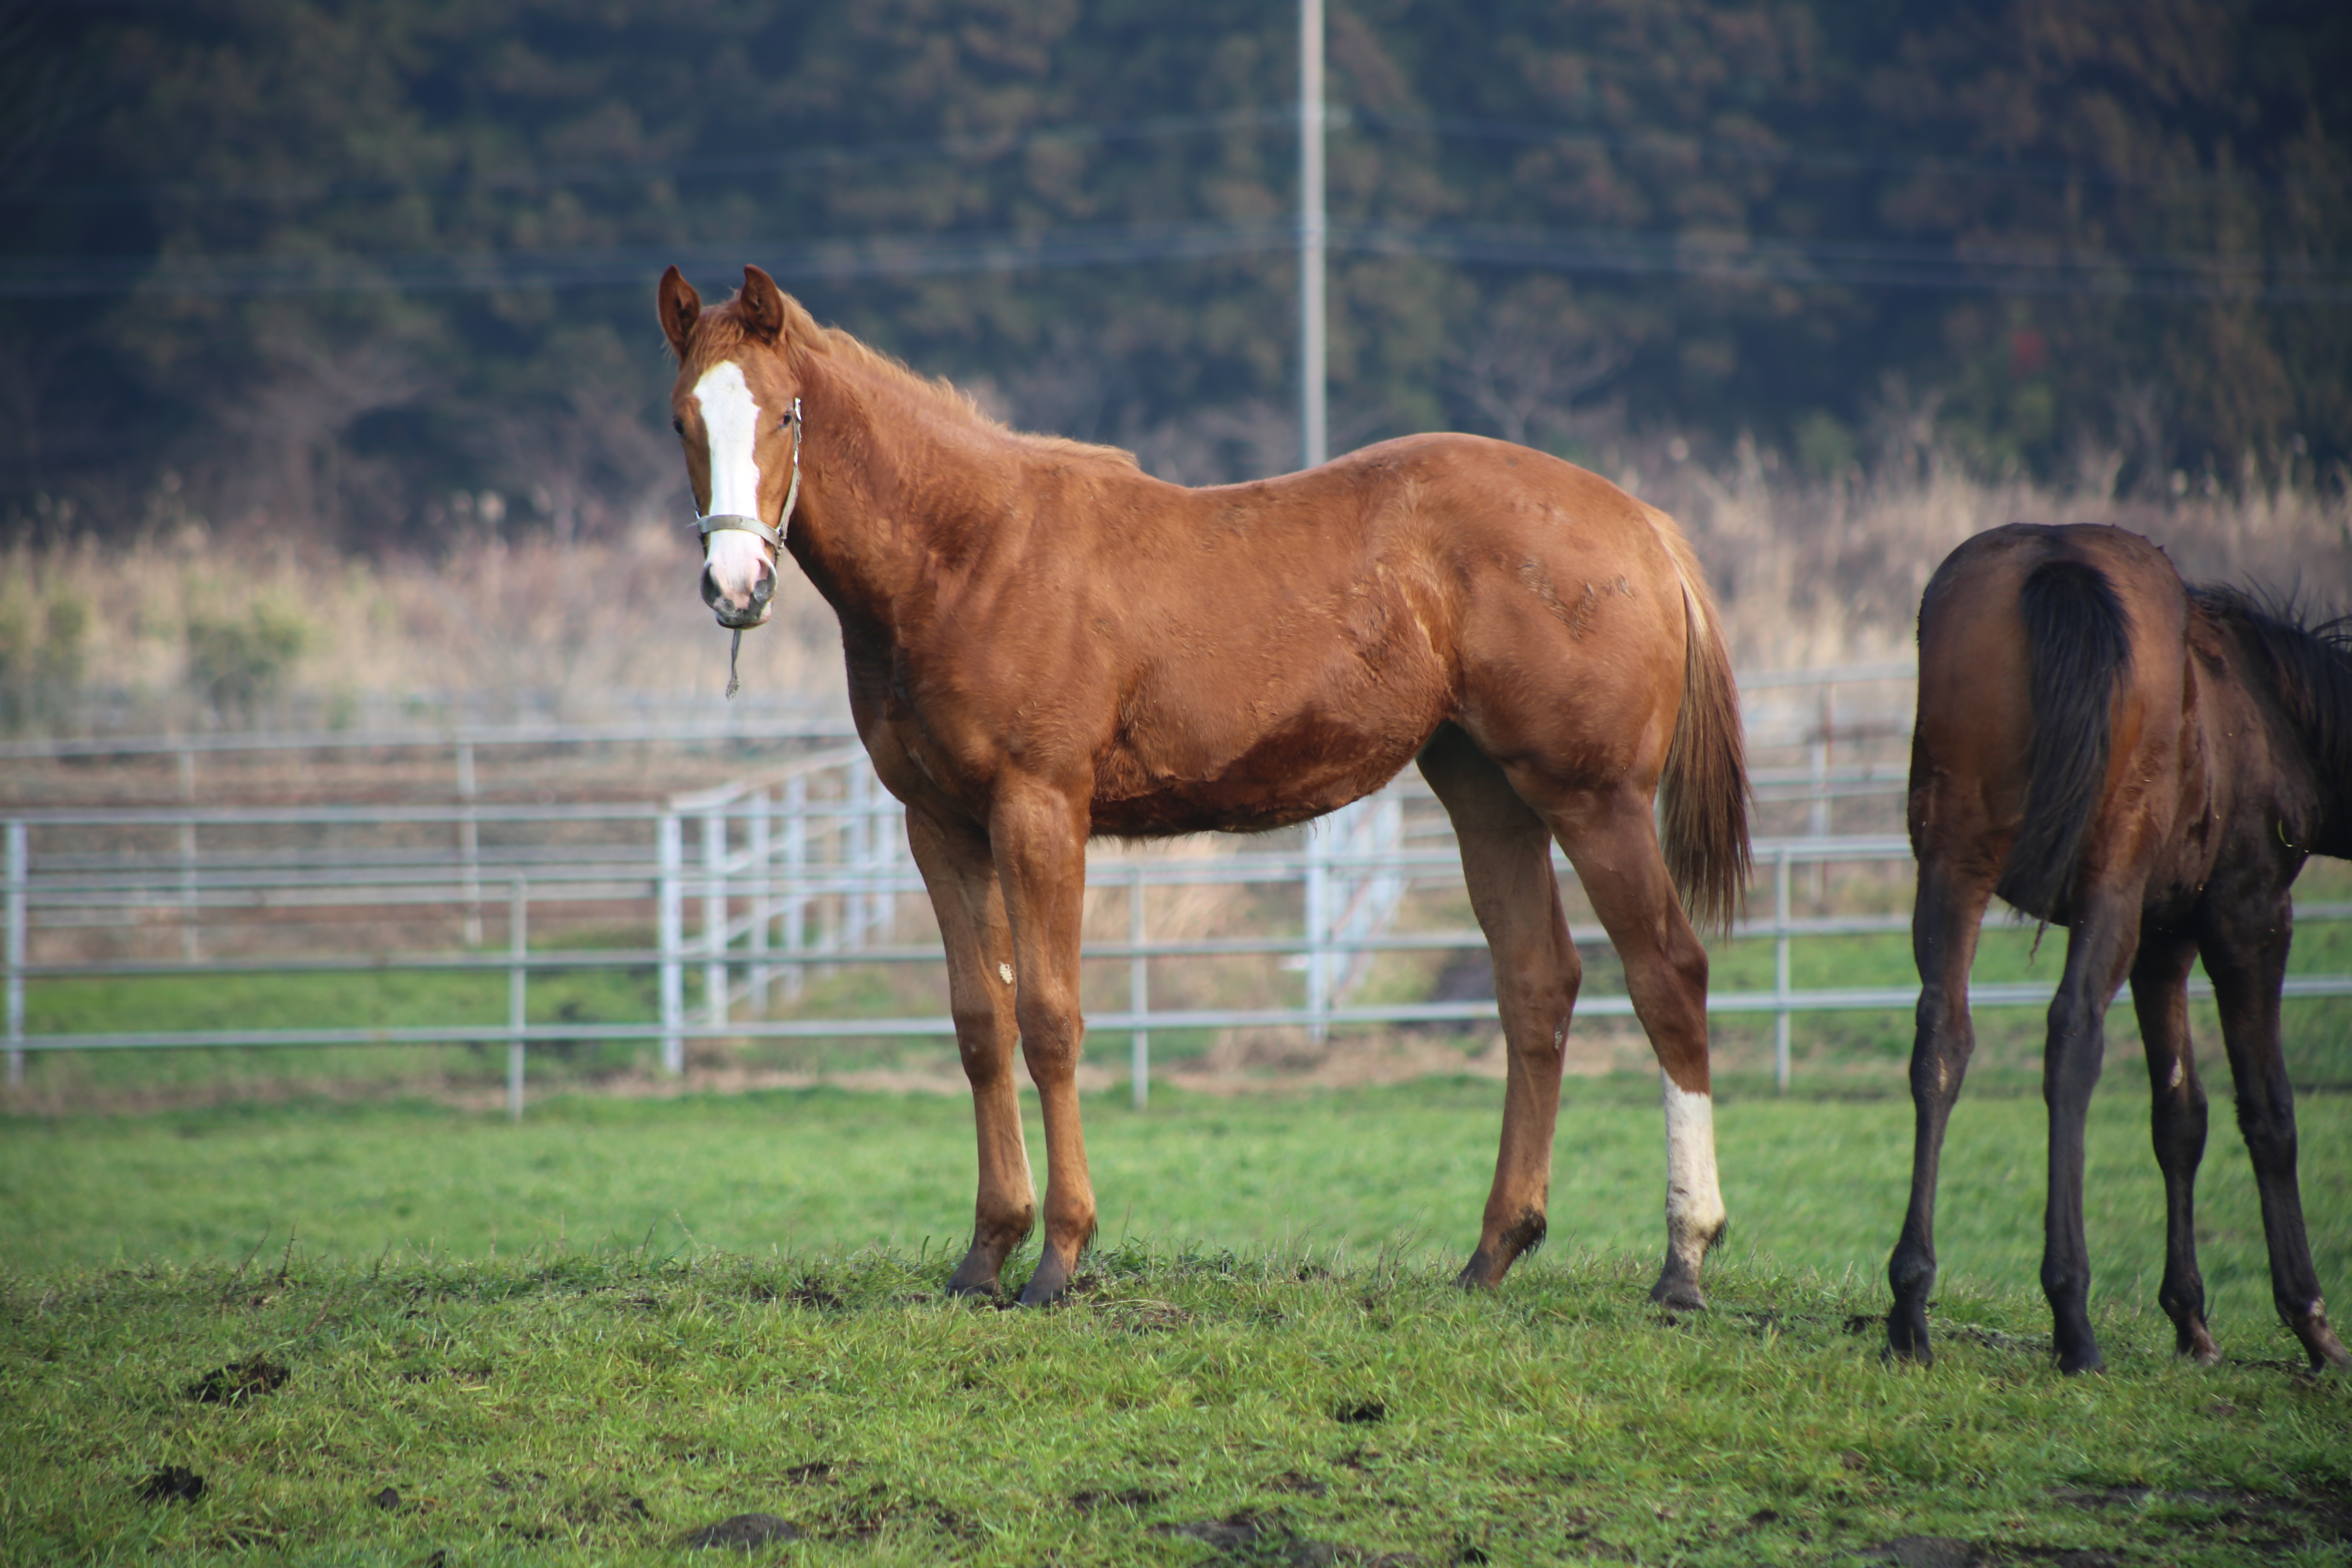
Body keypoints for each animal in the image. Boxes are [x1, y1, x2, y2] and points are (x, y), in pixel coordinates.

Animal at [658, 263, 1750, 1307]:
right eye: (682, 420)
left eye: (785, 413)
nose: (735, 587)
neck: (967, 554)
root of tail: (1640, 523)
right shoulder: (939, 825)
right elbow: (980, 1025)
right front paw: (984, 1255)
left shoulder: (1039, 809)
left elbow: (1049, 1019)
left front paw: (1059, 1258)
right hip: (1488, 791)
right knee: (1536, 984)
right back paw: (1491, 1254)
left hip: (1595, 800)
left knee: (1667, 974)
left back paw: (1684, 1260)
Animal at [1891, 524, 2352, 1373]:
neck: (2270, 704)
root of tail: (2057, 561)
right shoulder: (2248, 918)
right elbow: (2268, 1113)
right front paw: (2310, 1322)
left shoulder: (2161, 943)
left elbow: (2179, 1117)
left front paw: (2191, 1319)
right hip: (2111, 875)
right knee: (2072, 1036)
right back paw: (2073, 1318)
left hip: (1954, 863)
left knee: (1942, 1037)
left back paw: (1909, 1307)